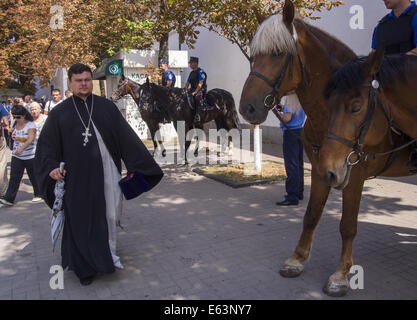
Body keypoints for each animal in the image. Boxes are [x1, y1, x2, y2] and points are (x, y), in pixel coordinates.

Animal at [239, 0, 412, 298]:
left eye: (278, 53)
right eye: (253, 55)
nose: (247, 108)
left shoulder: (354, 176)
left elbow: (348, 225)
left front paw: (341, 274)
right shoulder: (322, 171)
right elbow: (311, 215)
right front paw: (297, 259)